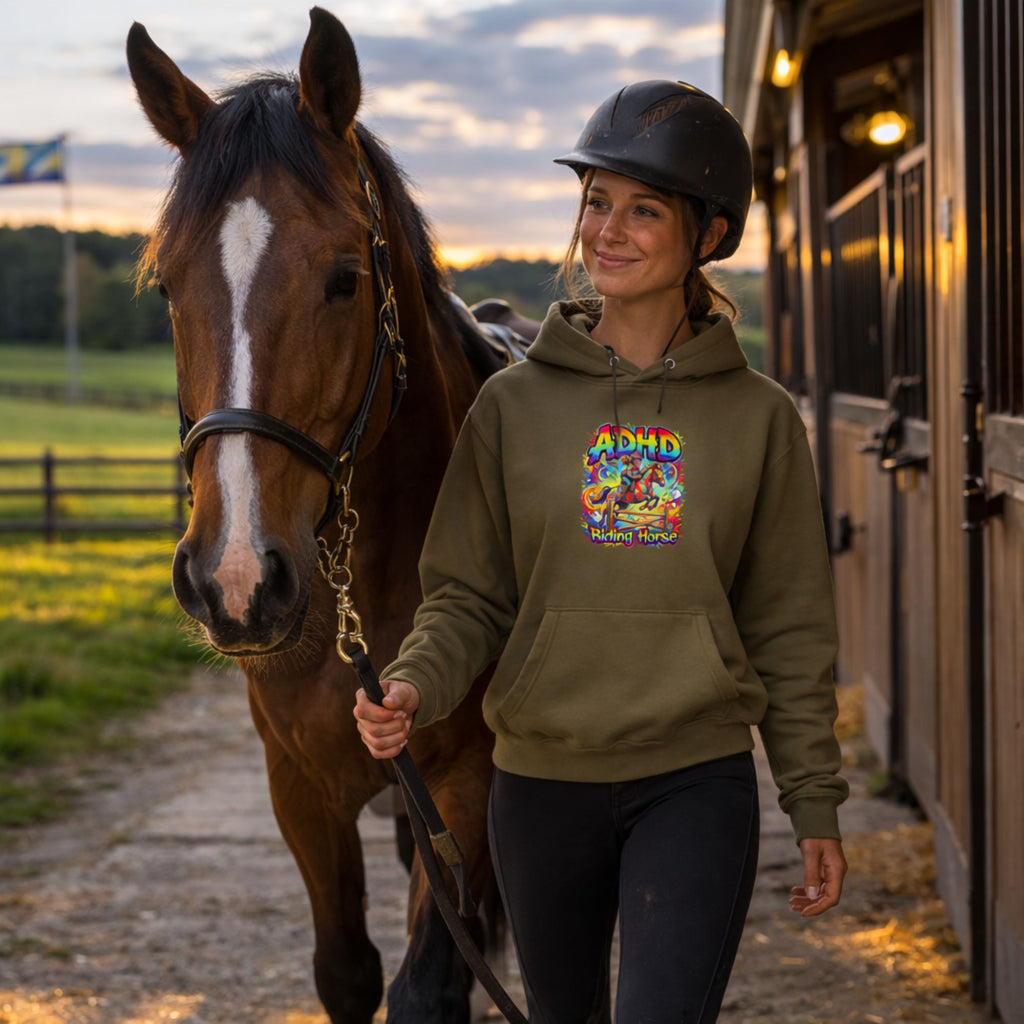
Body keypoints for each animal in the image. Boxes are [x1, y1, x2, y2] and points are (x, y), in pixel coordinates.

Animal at [127, 9, 506, 1022]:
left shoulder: (467, 783)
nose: (236, 578)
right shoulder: (301, 787)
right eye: (168, 287)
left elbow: (428, 983)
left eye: (344, 279)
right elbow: (346, 972)